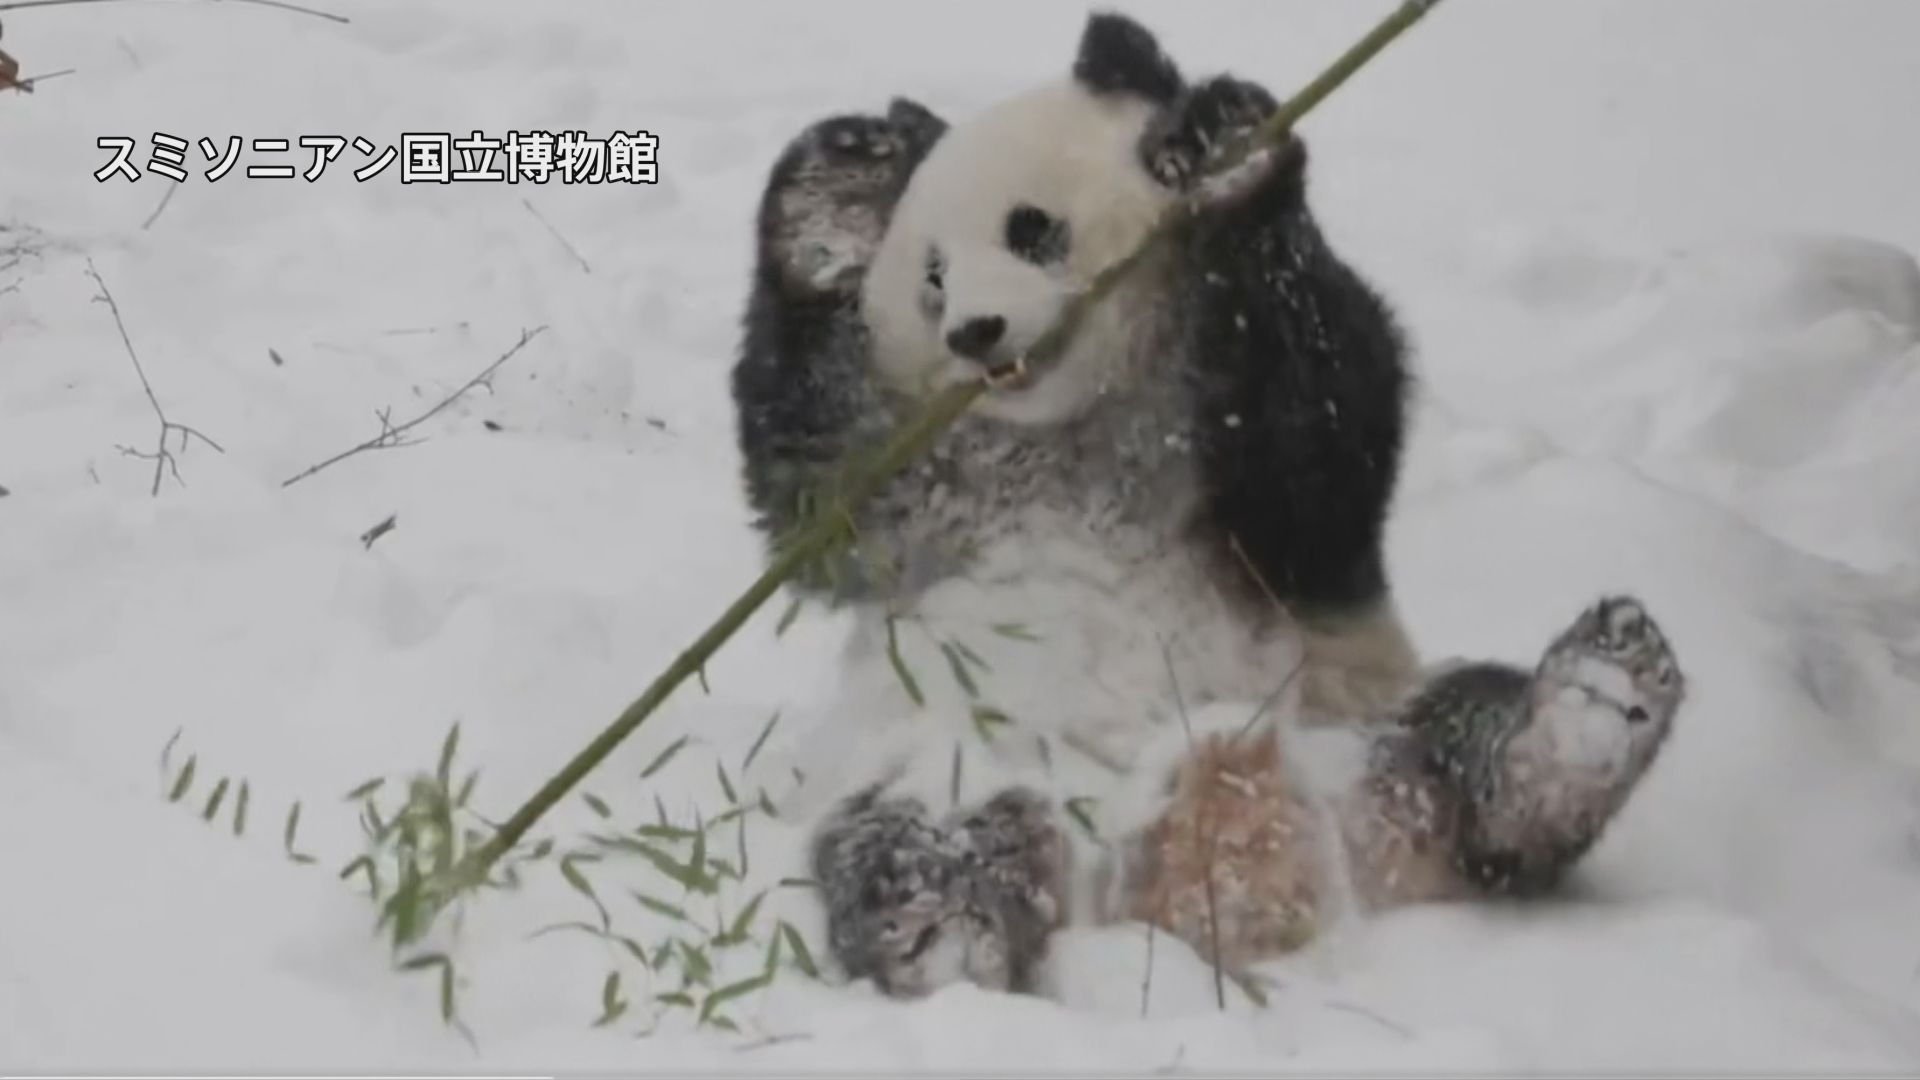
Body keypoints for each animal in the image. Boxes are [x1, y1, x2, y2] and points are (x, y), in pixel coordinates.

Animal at [725, 12, 1689, 999]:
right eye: (933, 278)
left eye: (1032, 229)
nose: (975, 334)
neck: (1074, 426)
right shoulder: (932, 471)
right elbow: (822, 495)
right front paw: (840, 192)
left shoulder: (1244, 442)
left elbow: (1318, 460)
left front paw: (1232, 153)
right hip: (948, 733)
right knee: (917, 817)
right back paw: (941, 920)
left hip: (1357, 724)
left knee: (1472, 762)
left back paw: (1589, 706)